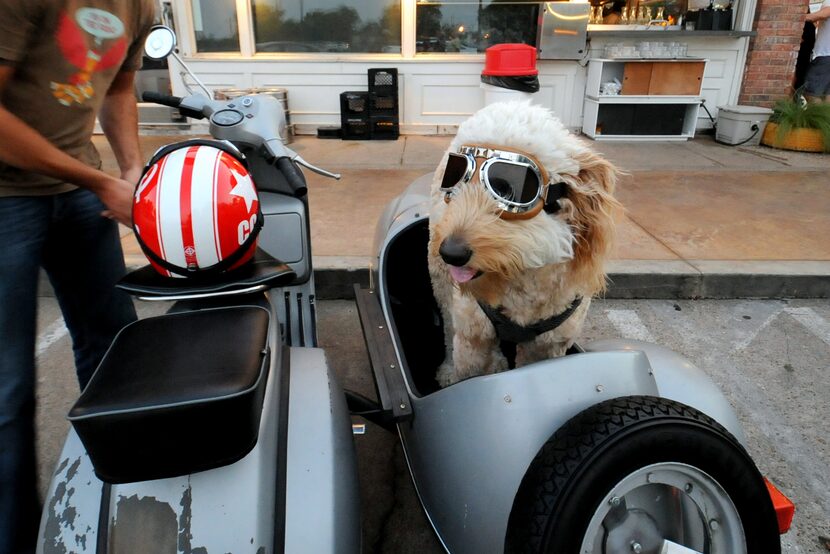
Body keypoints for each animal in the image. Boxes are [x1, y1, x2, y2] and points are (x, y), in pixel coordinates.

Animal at [432, 99, 620, 386]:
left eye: (510, 188)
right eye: (459, 180)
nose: (451, 252)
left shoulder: (548, 346)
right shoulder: (472, 336)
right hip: (442, 283)